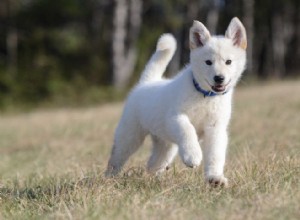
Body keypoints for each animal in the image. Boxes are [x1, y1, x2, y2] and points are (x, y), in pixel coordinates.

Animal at [105, 17, 246, 186]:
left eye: (228, 62)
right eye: (208, 62)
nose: (219, 78)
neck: (204, 95)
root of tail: (147, 82)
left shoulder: (215, 129)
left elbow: (215, 155)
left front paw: (215, 178)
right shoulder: (176, 117)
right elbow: (188, 130)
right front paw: (192, 155)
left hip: (165, 144)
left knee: (153, 163)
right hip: (130, 136)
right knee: (116, 158)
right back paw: (109, 178)